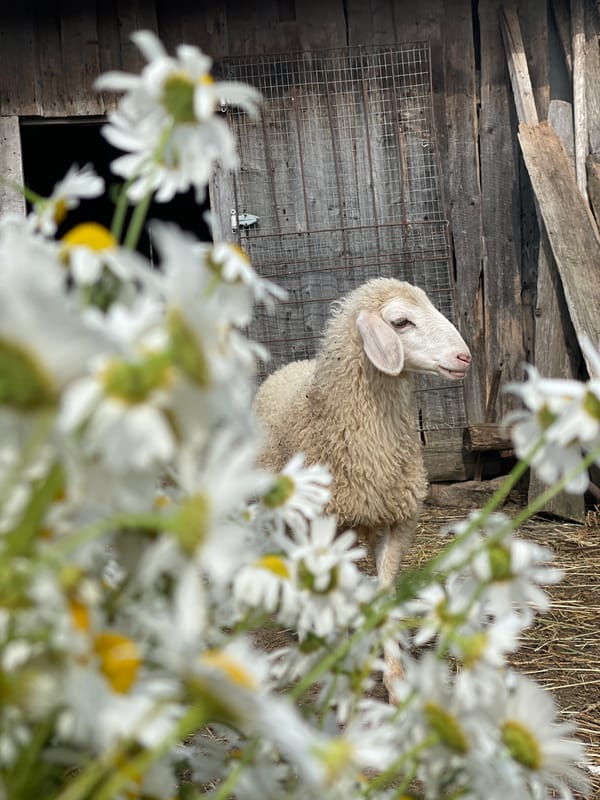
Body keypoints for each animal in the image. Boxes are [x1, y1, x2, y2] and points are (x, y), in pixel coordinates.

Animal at [253, 278, 471, 697]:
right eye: (401, 322)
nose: (464, 357)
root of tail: (291, 364)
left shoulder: (395, 522)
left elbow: (384, 596)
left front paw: (395, 677)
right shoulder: (325, 526)